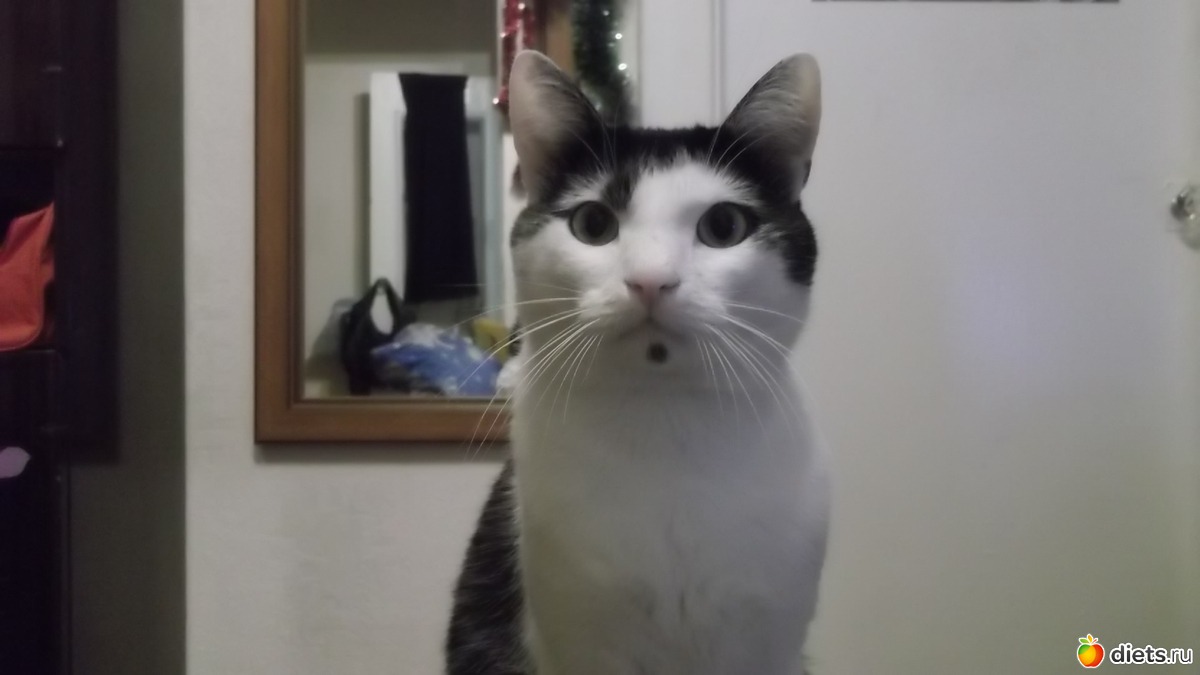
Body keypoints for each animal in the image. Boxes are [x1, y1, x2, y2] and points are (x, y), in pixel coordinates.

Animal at [447, 50, 829, 675]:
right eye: (593, 225)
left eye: (723, 227)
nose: (651, 281)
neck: (664, 421)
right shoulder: (582, 640)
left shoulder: (771, 643)